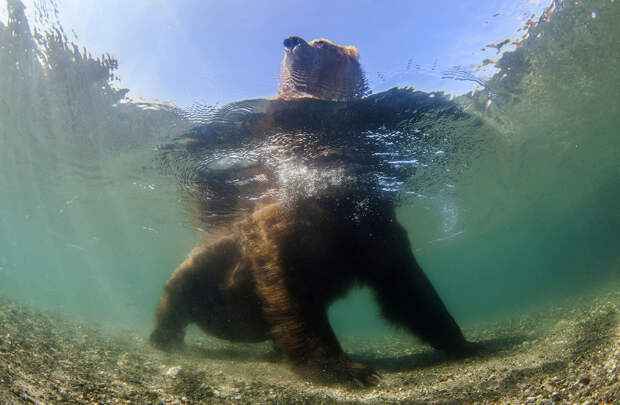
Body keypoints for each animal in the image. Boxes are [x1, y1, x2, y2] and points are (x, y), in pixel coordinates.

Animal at [151, 35, 474, 386]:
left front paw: (460, 341)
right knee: (178, 290)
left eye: (324, 44)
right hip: (207, 260)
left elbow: (406, 283)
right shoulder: (281, 225)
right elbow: (291, 287)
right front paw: (347, 369)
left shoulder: (371, 226)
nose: (292, 41)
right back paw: (164, 338)